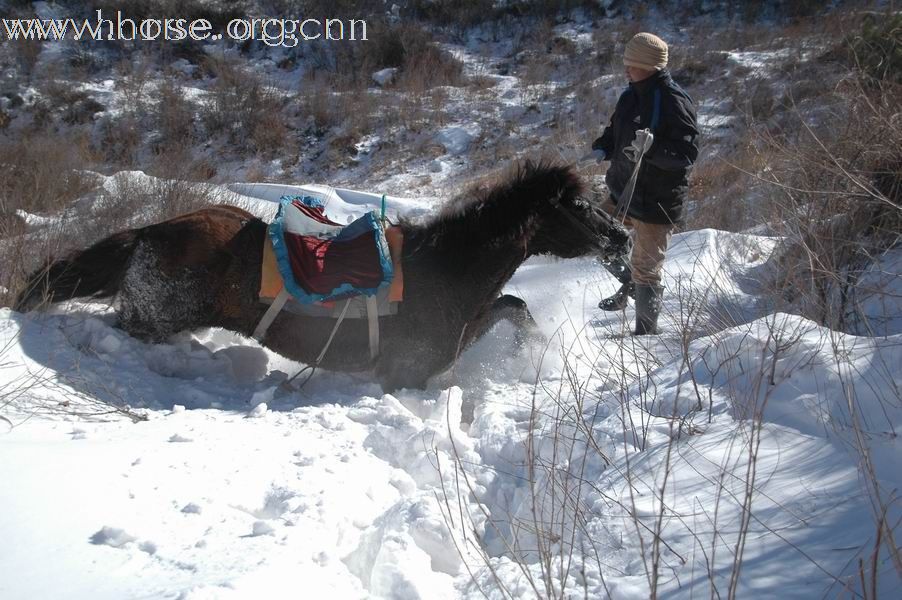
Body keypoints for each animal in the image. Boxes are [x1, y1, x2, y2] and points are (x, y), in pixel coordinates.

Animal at [17, 162, 632, 392]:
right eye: (579, 205)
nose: (623, 237)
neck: (445, 270)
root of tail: (154, 230)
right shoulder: (406, 374)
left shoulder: (467, 327)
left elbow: (514, 308)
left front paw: (537, 354)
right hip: (153, 316)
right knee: (116, 327)